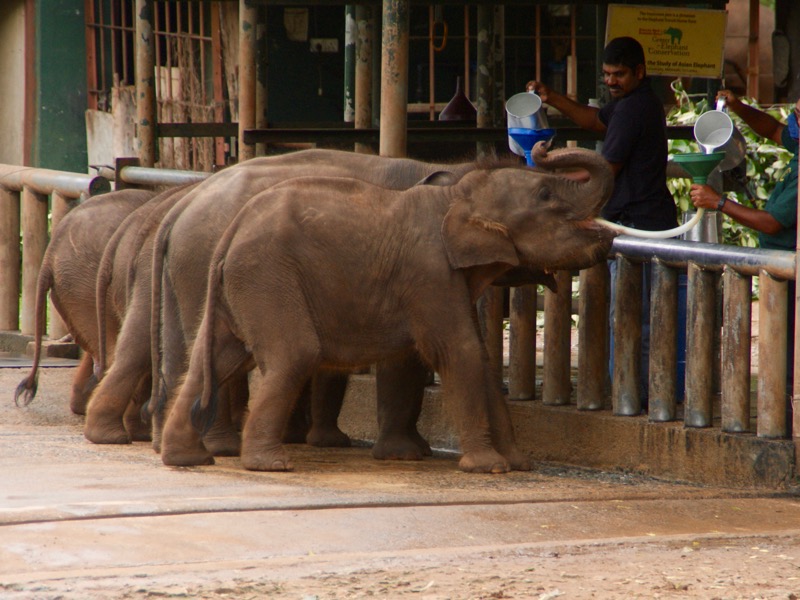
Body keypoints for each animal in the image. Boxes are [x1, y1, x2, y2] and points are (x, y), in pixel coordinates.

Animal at [159, 144, 616, 473]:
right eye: (545, 194)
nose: (541, 145)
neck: (454, 192)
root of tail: (231, 230)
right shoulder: (429, 271)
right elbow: (460, 352)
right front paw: (489, 469)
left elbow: (481, 359)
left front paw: (519, 465)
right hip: (267, 278)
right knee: (294, 354)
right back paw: (268, 465)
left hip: (238, 287)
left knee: (215, 359)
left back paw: (186, 458)